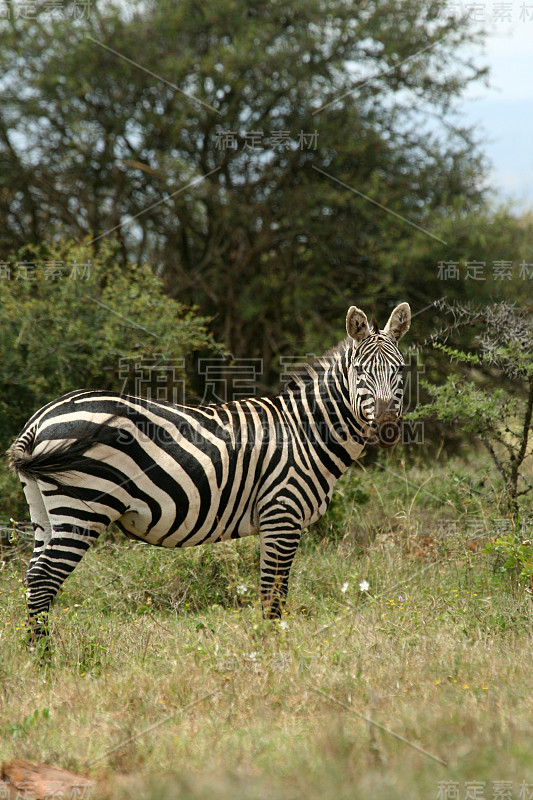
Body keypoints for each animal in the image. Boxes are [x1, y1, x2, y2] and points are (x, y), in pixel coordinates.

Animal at [8, 304, 412, 640]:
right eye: (360, 372)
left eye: (400, 371)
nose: (387, 428)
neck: (304, 431)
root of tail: (41, 417)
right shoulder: (282, 513)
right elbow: (273, 596)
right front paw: (272, 655)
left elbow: (271, 594)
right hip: (82, 507)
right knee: (44, 580)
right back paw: (47, 660)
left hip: (45, 509)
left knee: (33, 576)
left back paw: (38, 655)